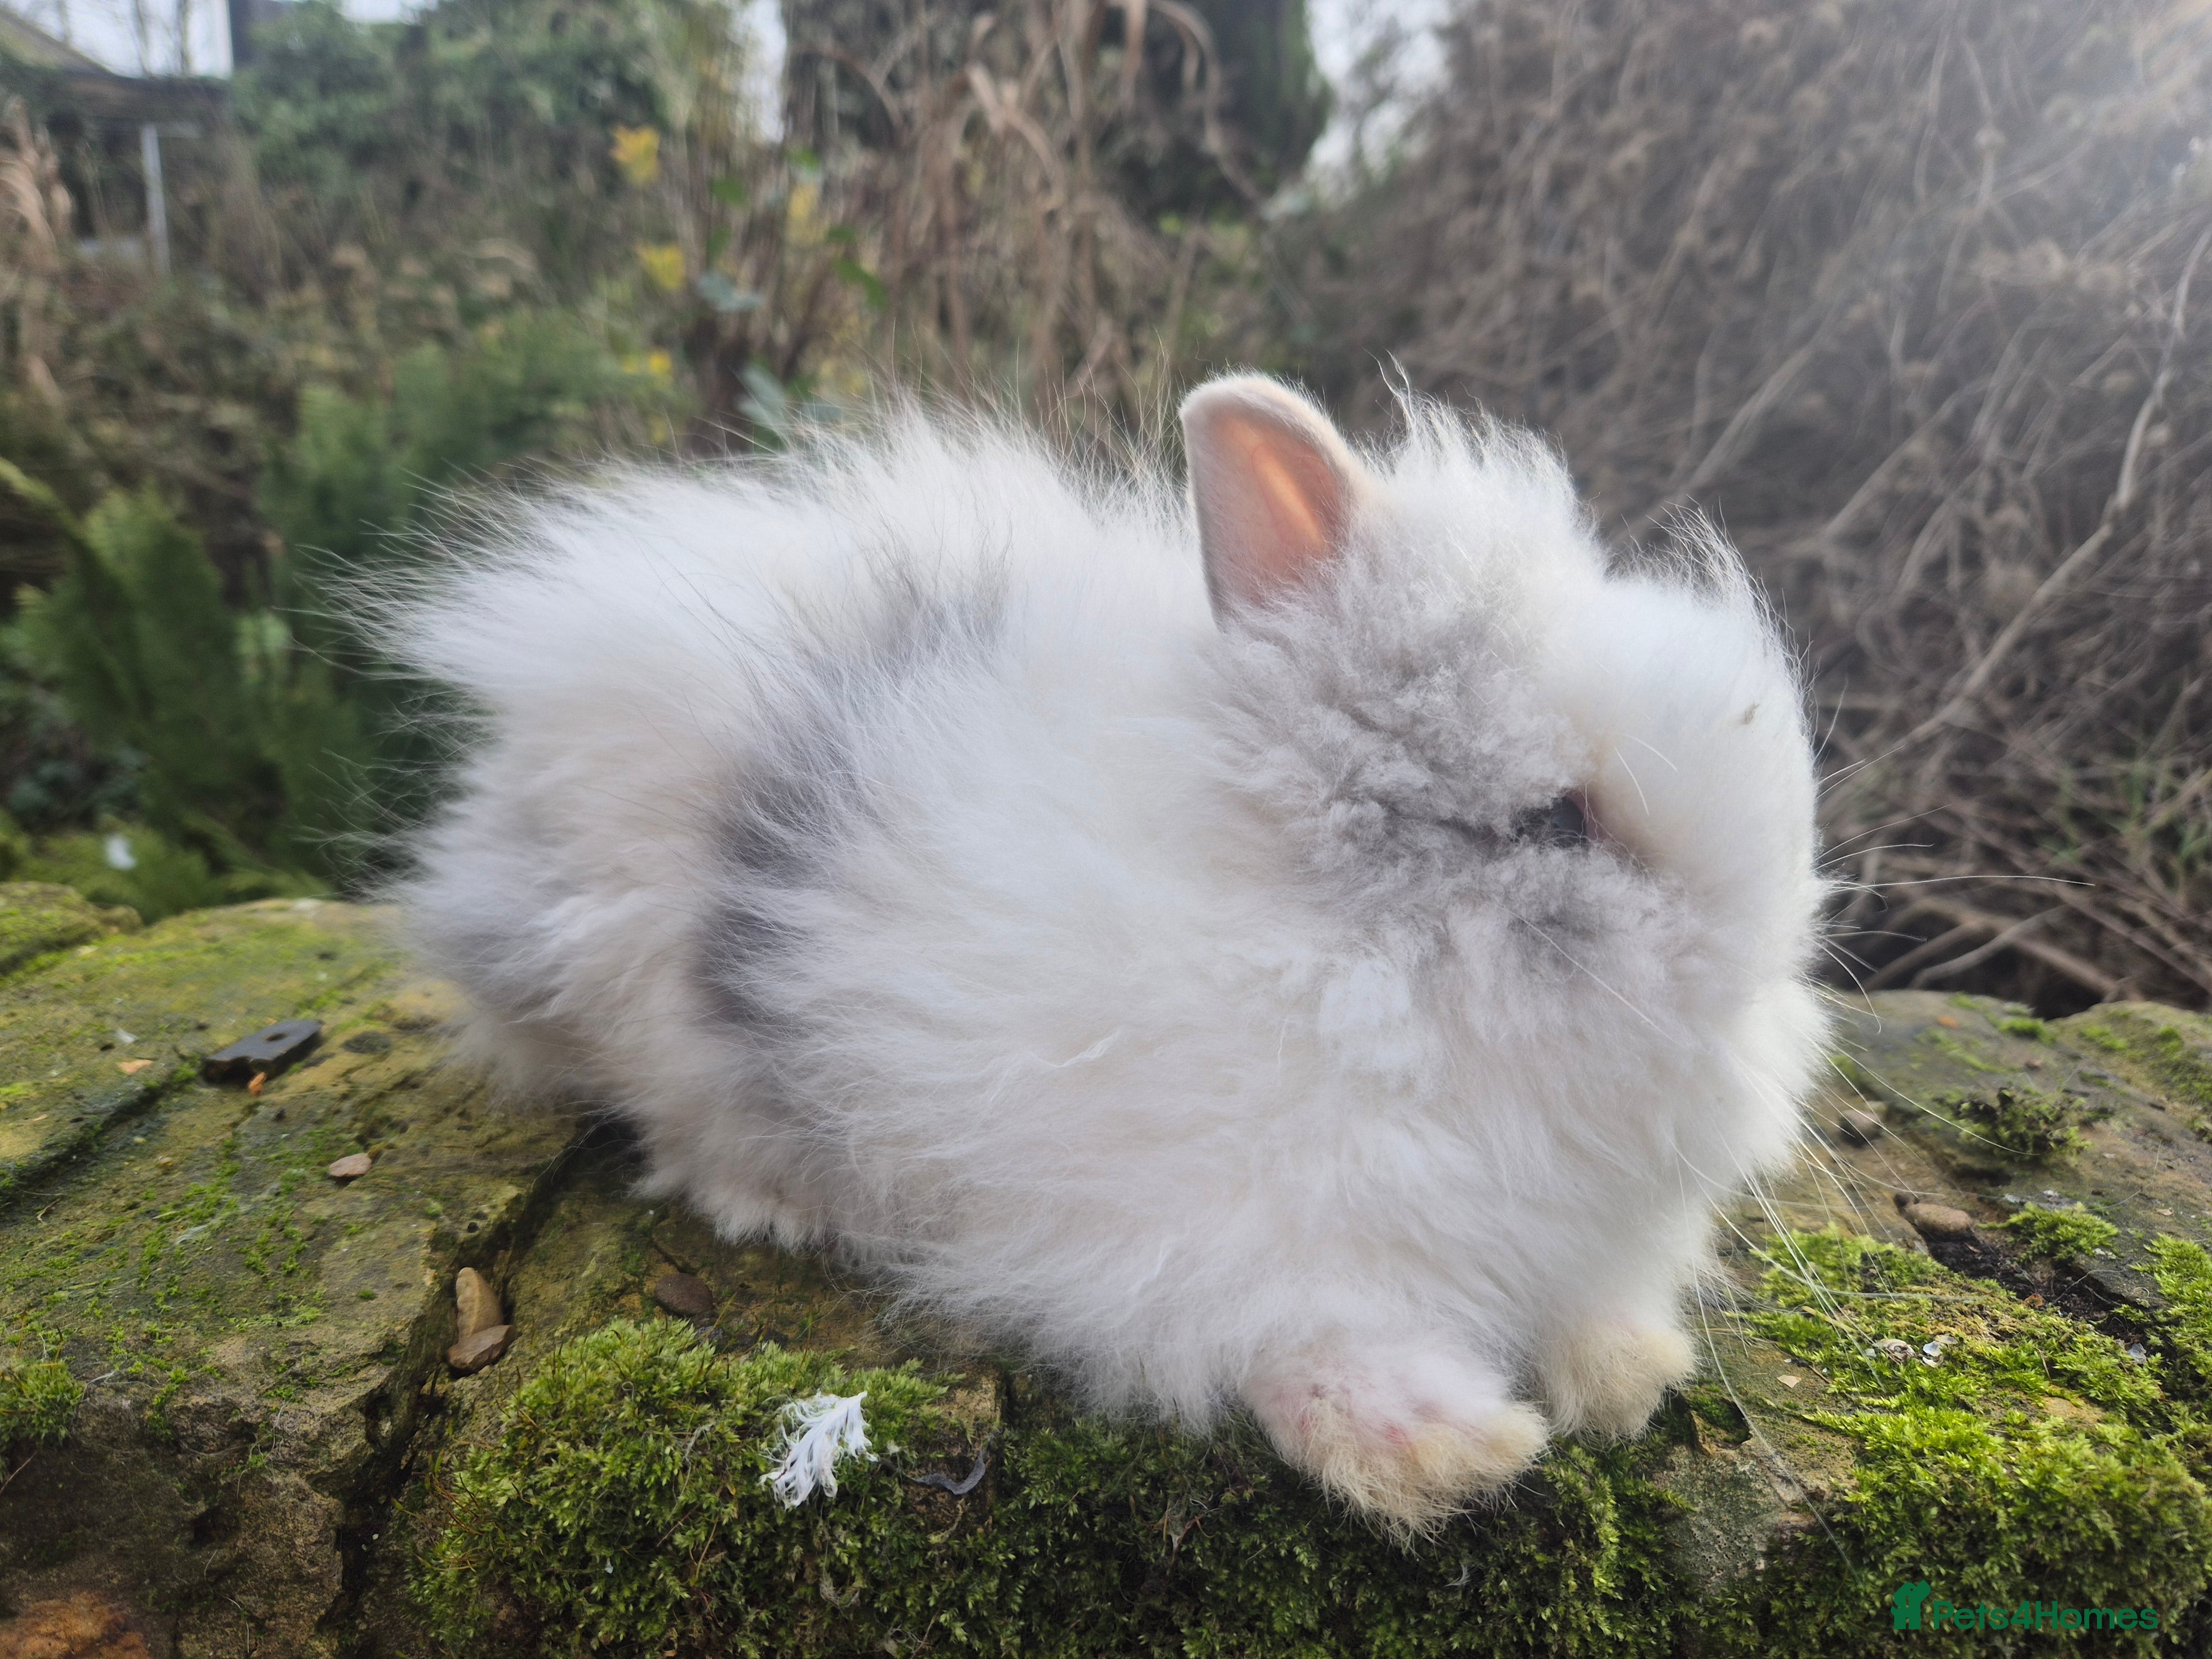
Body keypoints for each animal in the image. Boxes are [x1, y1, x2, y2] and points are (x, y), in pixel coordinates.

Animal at [383, 373, 1830, 1535]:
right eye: (1556, 819)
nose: (1757, 976)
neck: (1355, 963)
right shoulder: (1211, 1258)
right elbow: (1312, 1342)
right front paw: (1443, 1452)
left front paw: (1624, 1379)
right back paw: (774, 1199)